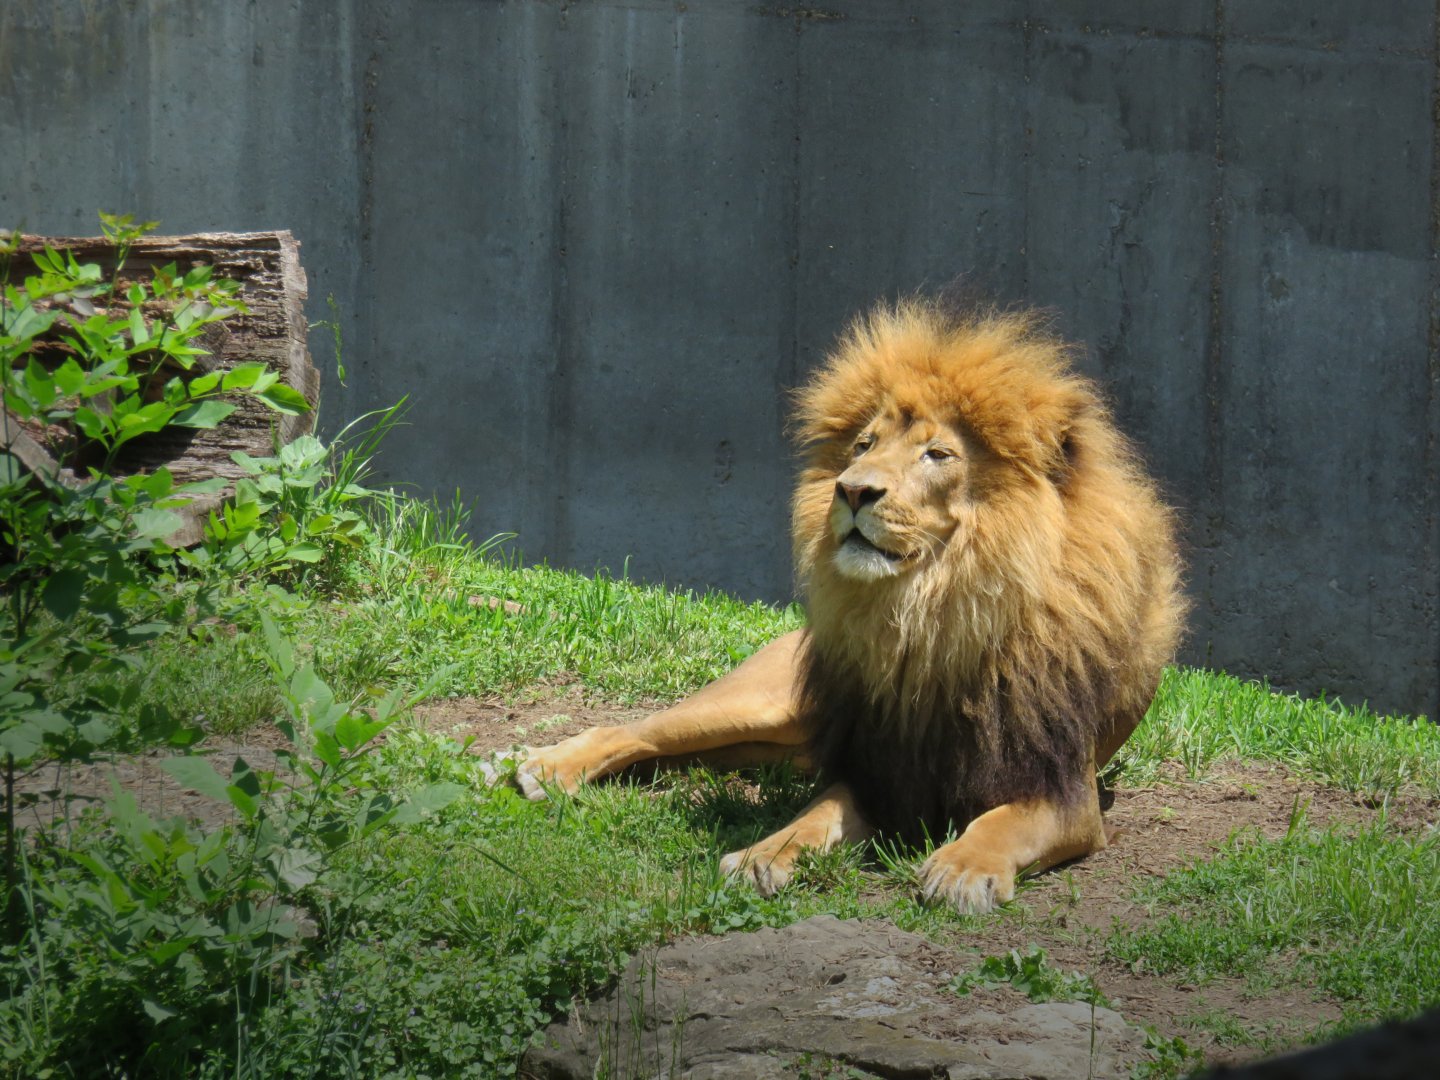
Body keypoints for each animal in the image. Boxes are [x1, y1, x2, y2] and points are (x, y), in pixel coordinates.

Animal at [505, 297, 1185, 913]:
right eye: (864, 445)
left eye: (937, 454)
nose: (852, 490)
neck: (931, 617)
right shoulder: (875, 768)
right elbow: (815, 813)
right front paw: (763, 855)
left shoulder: (1067, 791)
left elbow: (1000, 822)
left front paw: (963, 869)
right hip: (764, 704)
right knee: (631, 729)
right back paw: (539, 766)